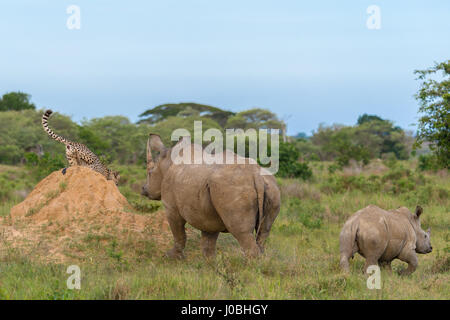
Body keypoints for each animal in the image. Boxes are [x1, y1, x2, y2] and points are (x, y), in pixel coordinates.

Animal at [142, 134, 282, 258]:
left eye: (150, 173)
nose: (144, 189)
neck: (166, 161)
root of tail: (256, 175)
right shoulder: (207, 217)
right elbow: (208, 243)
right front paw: (210, 265)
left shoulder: (171, 207)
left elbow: (178, 234)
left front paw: (172, 257)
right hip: (271, 187)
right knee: (264, 232)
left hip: (233, 187)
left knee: (242, 233)